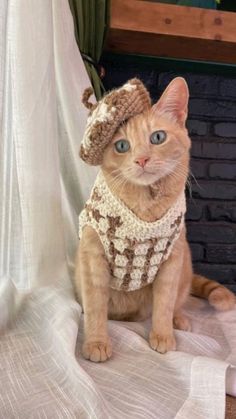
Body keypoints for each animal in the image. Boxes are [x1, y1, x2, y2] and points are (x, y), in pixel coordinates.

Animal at [74, 77, 236, 362]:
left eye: (157, 137)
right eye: (121, 145)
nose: (141, 159)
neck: (145, 207)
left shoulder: (172, 259)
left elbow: (164, 304)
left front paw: (162, 336)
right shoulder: (92, 256)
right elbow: (95, 307)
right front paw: (96, 342)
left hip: (185, 268)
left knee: (178, 302)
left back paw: (179, 321)